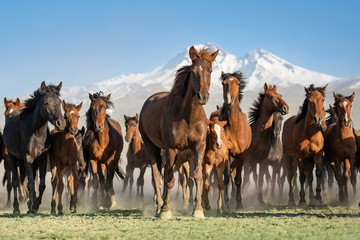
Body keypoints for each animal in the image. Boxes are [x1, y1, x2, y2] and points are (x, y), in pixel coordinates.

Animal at [2, 81, 65, 215]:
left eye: (59, 101)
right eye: (46, 103)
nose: (61, 124)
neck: (37, 132)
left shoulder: (42, 159)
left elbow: (41, 184)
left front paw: (35, 205)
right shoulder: (28, 158)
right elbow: (30, 183)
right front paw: (32, 206)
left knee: (24, 180)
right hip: (12, 157)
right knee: (15, 182)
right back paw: (16, 208)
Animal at [139, 45, 218, 218]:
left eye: (210, 70)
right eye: (193, 71)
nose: (202, 96)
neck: (188, 117)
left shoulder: (198, 147)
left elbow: (197, 176)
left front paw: (198, 210)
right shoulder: (171, 149)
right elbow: (169, 179)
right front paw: (166, 210)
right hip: (150, 146)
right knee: (157, 176)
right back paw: (159, 206)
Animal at [212, 70, 252, 209]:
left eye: (238, 83)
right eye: (223, 83)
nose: (228, 99)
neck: (235, 127)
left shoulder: (241, 155)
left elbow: (238, 179)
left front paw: (239, 204)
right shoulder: (226, 153)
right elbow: (226, 177)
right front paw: (226, 204)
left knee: (234, 173)